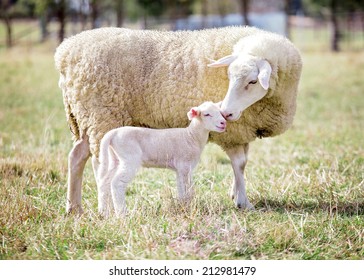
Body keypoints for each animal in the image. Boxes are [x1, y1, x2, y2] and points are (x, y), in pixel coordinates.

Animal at [96, 101, 228, 217]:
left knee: (104, 182)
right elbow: (187, 188)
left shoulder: (181, 169)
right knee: (117, 183)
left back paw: (104, 213)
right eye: (207, 114)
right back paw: (122, 214)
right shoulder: (185, 165)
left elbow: (181, 188)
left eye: (220, 112)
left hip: (115, 159)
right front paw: (188, 206)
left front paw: (182, 206)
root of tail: (113, 133)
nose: (223, 123)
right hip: (129, 158)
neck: (191, 136)